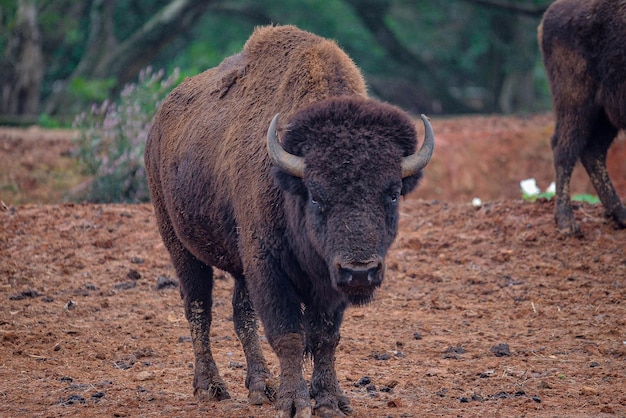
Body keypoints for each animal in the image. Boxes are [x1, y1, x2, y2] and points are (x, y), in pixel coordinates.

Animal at [144, 24, 432, 416]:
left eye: (391, 192)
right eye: (316, 194)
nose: (359, 272)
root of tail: (158, 123)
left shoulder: (325, 283)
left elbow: (325, 338)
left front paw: (330, 401)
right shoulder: (269, 268)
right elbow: (289, 334)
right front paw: (294, 402)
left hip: (241, 265)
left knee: (241, 314)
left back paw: (261, 387)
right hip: (179, 243)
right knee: (198, 308)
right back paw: (210, 387)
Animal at [536, 0, 624, 235]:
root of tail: (549, 14)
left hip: (604, 114)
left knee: (593, 152)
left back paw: (621, 216)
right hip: (577, 103)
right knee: (564, 149)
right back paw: (567, 224)